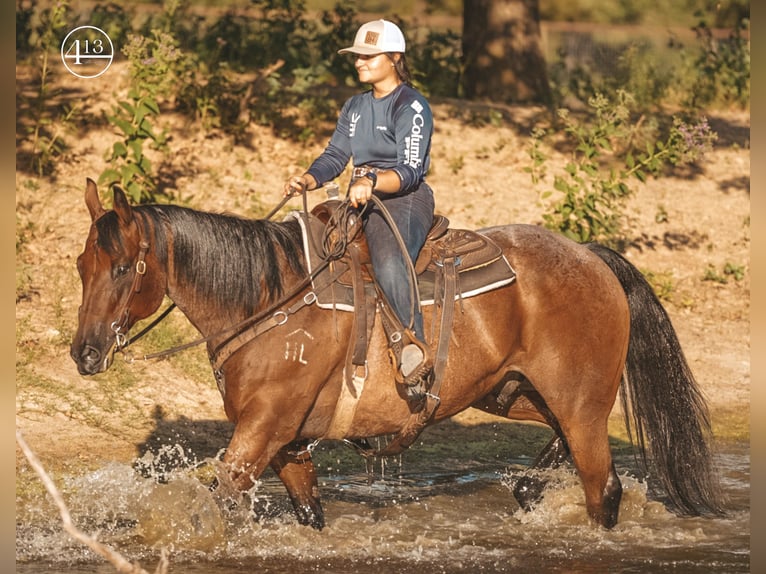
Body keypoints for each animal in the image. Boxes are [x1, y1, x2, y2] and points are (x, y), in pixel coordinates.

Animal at [69, 179, 724, 532]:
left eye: (123, 268)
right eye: (82, 265)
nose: (85, 353)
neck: (270, 301)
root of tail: (591, 256)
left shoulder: (262, 430)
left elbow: (222, 500)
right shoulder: (287, 443)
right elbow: (309, 513)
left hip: (578, 401)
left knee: (602, 488)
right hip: (513, 391)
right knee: (556, 442)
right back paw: (529, 487)